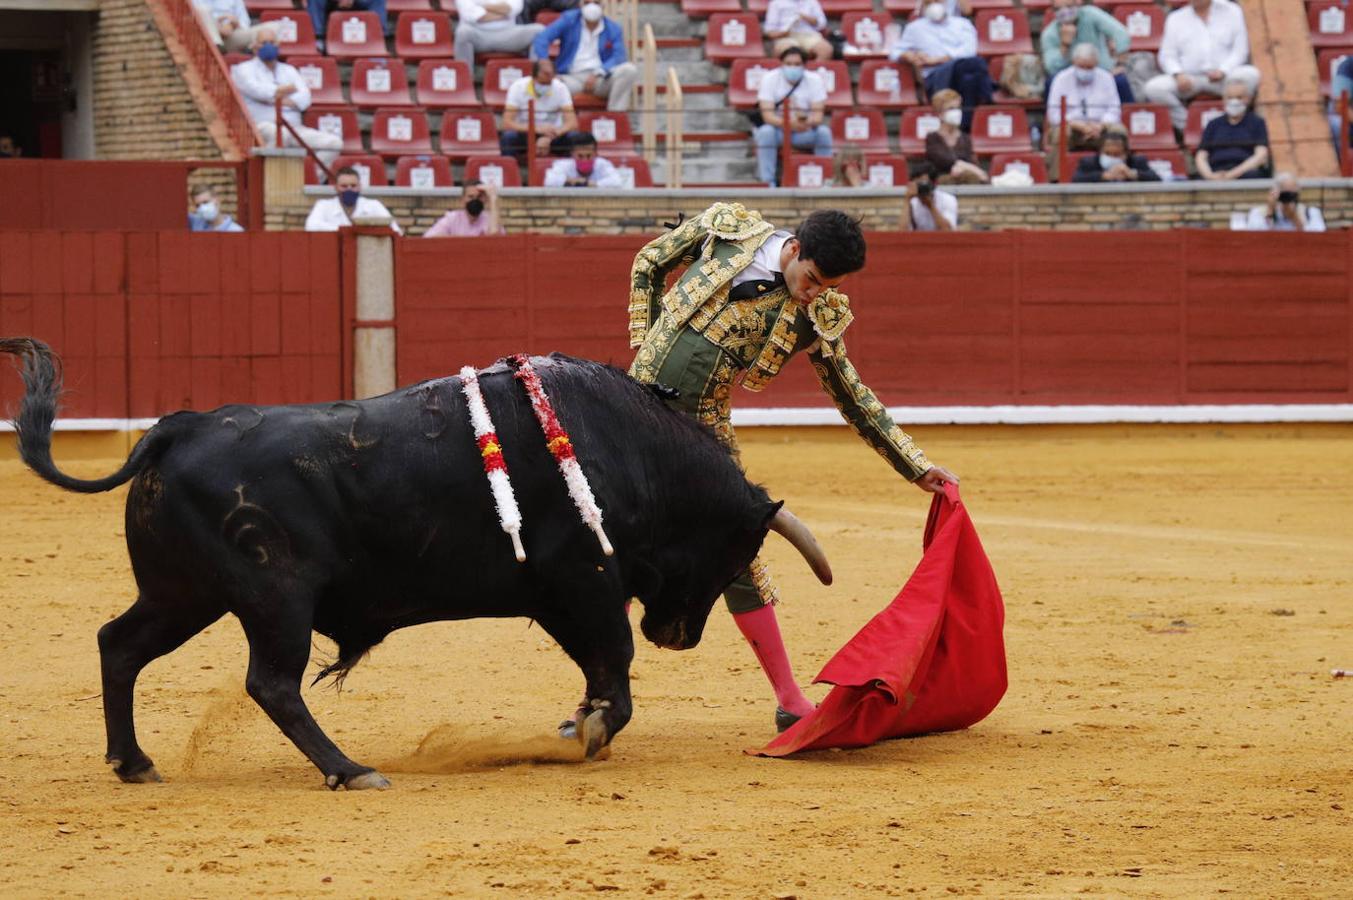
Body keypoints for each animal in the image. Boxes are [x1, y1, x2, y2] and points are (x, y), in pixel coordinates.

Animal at [0, 336, 828, 784]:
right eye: (737, 549)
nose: (678, 636)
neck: (629, 448)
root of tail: (179, 427)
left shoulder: (561, 597)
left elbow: (600, 671)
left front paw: (578, 724)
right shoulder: (585, 582)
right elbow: (614, 670)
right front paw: (589, 732)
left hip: (183, 593)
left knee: (120, 644)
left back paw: (134, 762)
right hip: (275, 595)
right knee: (271, 683)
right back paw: (350, 769)